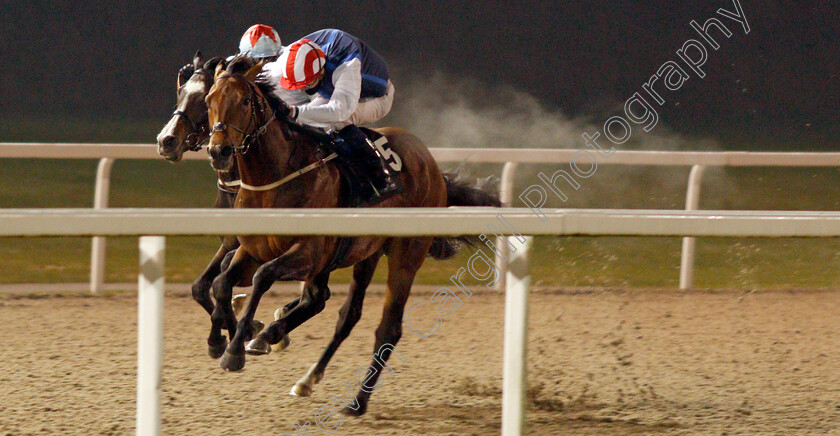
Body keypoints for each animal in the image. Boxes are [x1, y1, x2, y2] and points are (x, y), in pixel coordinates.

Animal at [205, 58, 498, 416]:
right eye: (210, 100)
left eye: (245, 101)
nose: (219, 151)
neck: (276, 177)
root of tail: (431, 165)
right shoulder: (253, 248)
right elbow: (223, 281)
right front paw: (232, 335)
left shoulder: (309, 252)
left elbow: (263, 276)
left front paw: (236, 350)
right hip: (365, 253)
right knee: (341, 312)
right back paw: (300, 371)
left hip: (404, 255)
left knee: (387, 327)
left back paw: (357, 401)